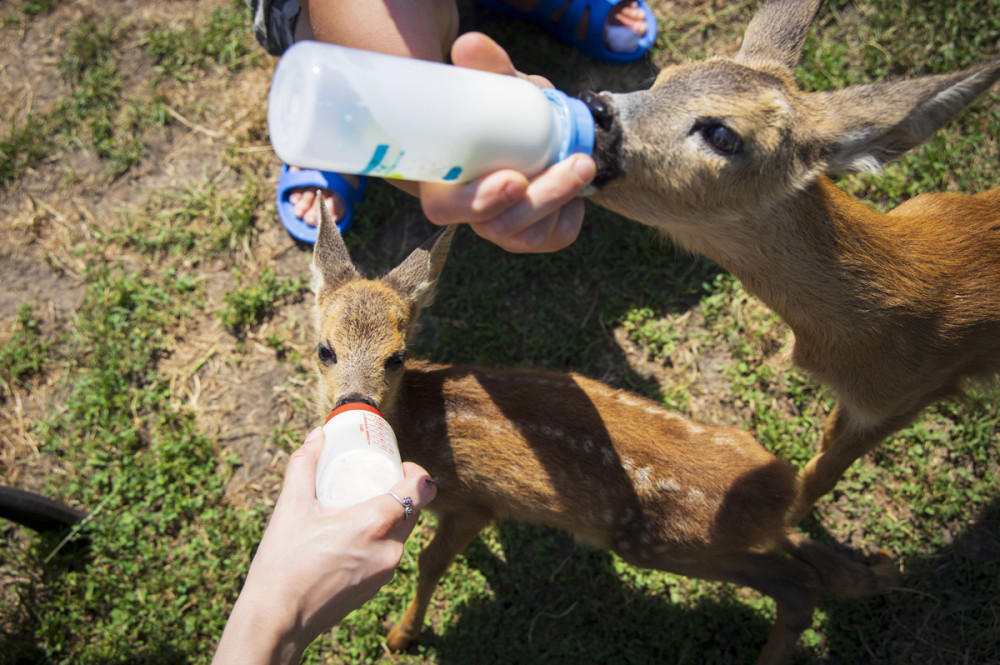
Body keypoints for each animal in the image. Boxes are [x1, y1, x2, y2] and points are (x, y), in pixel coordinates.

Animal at [310, 202, 892, 664]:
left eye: (397, 356)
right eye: (325, 349)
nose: (353, 403)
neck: (422, 425)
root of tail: (779, 492)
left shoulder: (476, 501)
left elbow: (430, 562)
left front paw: (402, 635)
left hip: (669, 546)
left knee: (798, 586)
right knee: (814, 566)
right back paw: (869, 573)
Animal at [584, 0, 1000, 520]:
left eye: (722, 133)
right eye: (663, 77)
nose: (594, 107)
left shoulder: (905, 396)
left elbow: (824, 471)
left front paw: (785, 524)